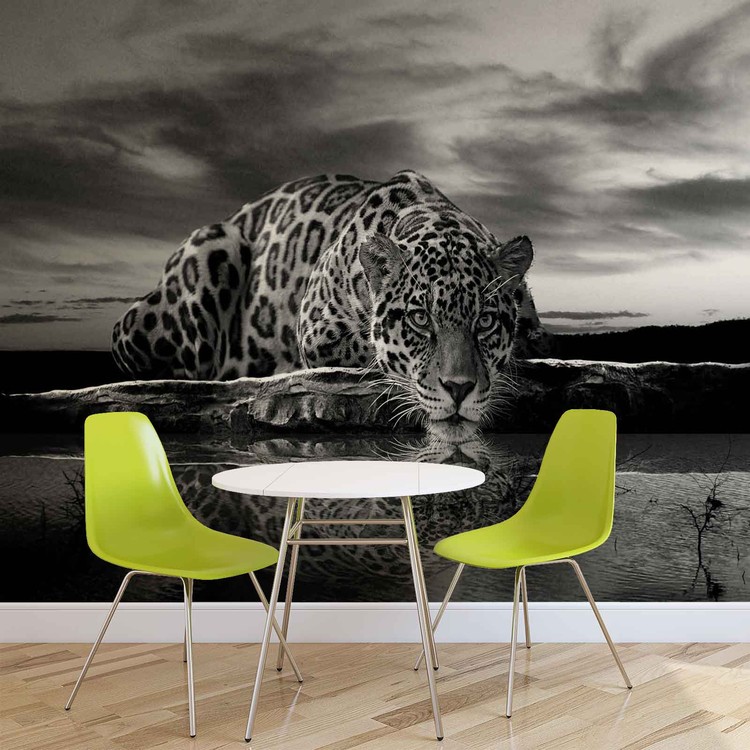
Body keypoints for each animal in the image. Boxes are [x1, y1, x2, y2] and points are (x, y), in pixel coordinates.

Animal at [112, 170, 551, 426]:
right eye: (420, 319)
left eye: (485, 321)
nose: (459, 390)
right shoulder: (319, 331)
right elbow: (374, 348)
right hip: (210, 249)